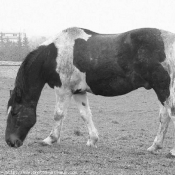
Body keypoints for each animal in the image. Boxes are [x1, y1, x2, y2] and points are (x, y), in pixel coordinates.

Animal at [4, 27, 175, 157]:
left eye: (14, 113)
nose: (9, 142)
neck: (54, 54)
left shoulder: (63, 90)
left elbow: (58, 115)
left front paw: (50, 139)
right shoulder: (78, 92)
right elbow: (85, 115)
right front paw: (92, 140)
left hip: (163, 89)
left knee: (169, 114)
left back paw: (168, 150)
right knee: (165, 116)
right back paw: (156, 147)